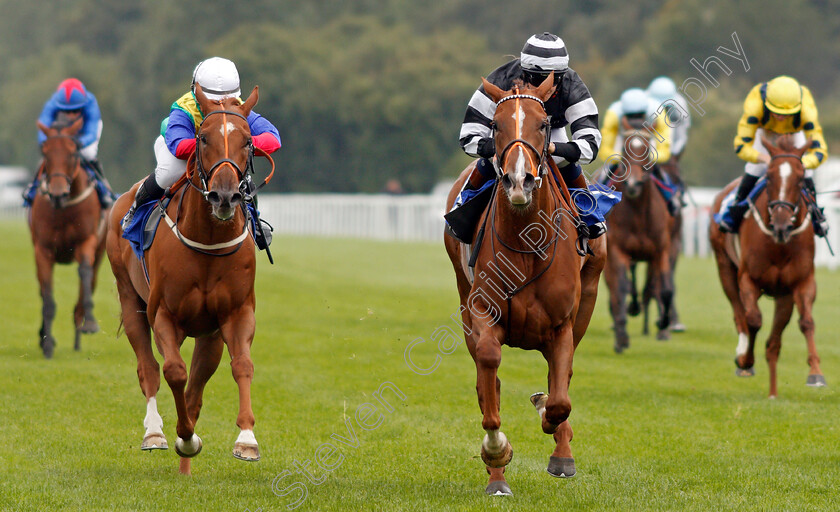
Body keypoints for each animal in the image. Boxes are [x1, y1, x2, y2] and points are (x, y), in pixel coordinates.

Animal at [28, 116, 108, 358]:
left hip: (100, 252)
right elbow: (47, 298)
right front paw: (46, 344)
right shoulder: (42, 249)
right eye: (45, 154)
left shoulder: (86, 242)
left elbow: (84, 272)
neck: (63, 209)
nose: (57, 194)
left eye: (73, 153)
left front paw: (89, 322)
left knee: (89, 280)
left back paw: (78, 337)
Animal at [106, 85, 262, 476]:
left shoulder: (234, 314)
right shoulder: (165, 314)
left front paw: (246, 440)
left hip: (209, 335)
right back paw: (156, 434)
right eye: (203, 138)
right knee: (149, 368)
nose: (225, 196)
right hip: (130, 298)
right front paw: (184, 437)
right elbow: (173, 371)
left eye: (249, 141)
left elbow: (241, 366)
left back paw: (184, 465)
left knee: (195, 388)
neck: (207, 238)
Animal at [442, 76, 608, 496]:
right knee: (488, 379)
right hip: (463, 299)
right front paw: (496, 451)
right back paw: (497, 477)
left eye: (544, 124)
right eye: (495, 125)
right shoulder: (482, 311)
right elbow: (489, 373)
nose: (519, 181)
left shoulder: (563, 323)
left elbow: (561, 398)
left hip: (589, 298)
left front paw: (555, 436)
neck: (527, 242)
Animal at [712, 134, 824, 398]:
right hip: (724, 267)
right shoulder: (748, 279)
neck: (778, 244)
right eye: (770, 176)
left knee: (773, 340)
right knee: (739, 314)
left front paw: (815, 373)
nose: (782, 224)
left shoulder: (799, 283)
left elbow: (805, 323)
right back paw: (743, 358)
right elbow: (753, 319)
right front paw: (745, 360)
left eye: (801, 178)